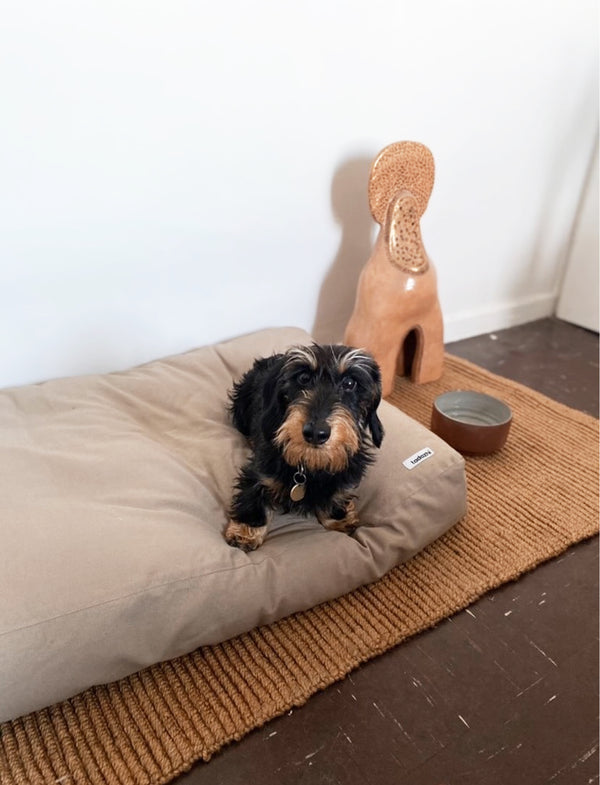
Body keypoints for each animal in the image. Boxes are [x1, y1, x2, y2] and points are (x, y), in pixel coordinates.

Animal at [225, 344, 384, 552]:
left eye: (350, 383)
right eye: (303, 378)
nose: (316, 433)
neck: (311, 462)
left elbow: (337, 492)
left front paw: (338, 517)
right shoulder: (260, 471)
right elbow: (253, 495)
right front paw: (244, 532)